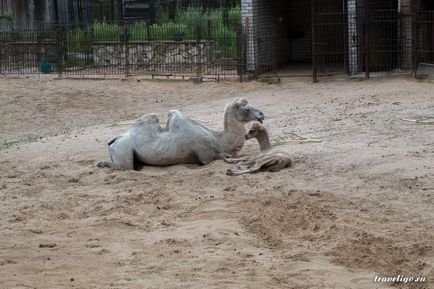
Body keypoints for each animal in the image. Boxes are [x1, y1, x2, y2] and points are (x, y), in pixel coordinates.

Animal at [97, 97, 264, 169]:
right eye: (247, 108)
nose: (261, 114)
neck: (218, 139)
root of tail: (113, 140)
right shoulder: (206, 155)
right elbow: (224, 159)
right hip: (124, 152)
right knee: (123, 167)